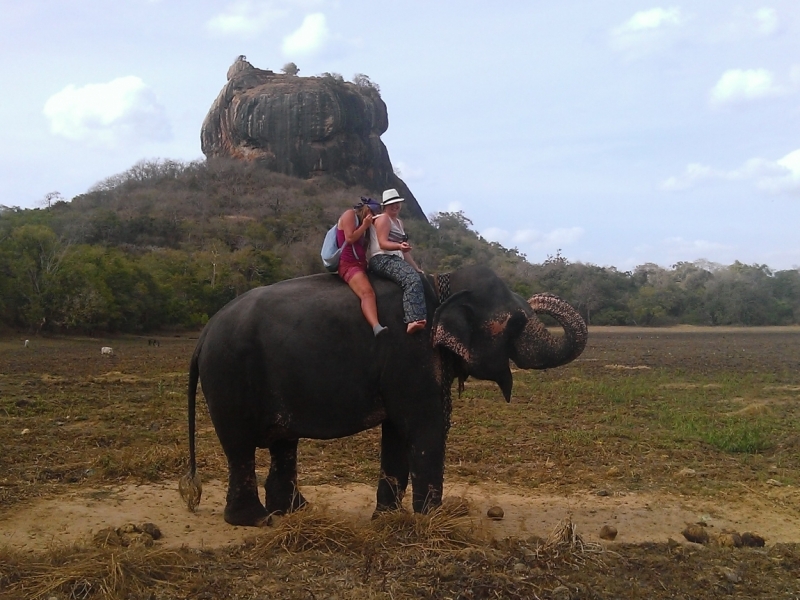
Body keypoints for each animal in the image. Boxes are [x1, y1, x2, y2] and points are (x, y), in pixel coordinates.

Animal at [181, 264, 588, 524]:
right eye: (515, 322)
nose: (535, 300)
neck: (438, 282)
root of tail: (203, 336)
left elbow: (397, 432)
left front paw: (387, 520)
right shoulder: (410, 351)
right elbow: (426, 427)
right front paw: (432, 521)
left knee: (284, 443)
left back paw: (295, 512)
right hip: (229, 375)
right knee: (239, 446)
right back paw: (256, 521)